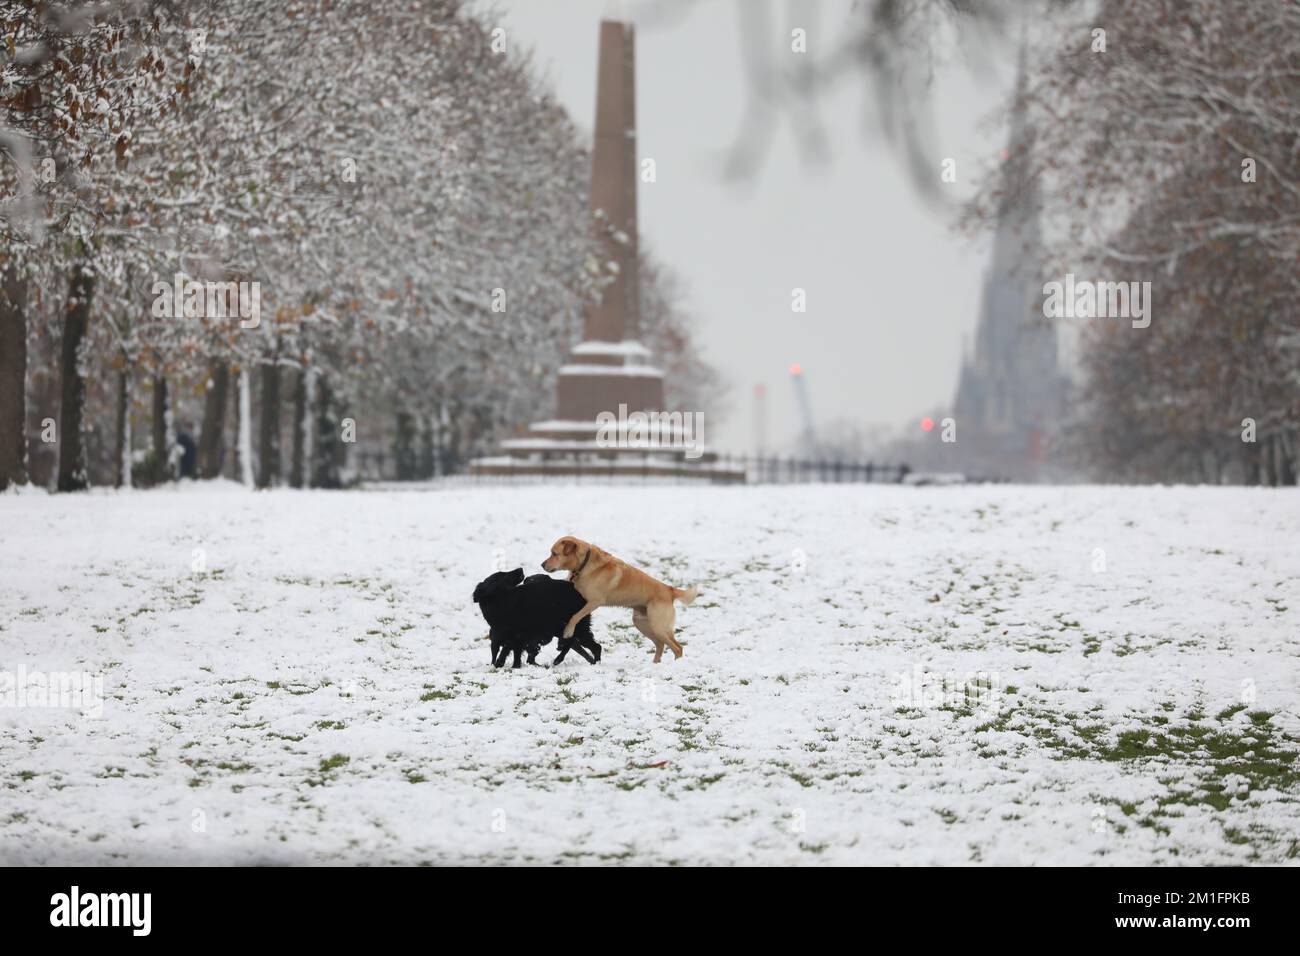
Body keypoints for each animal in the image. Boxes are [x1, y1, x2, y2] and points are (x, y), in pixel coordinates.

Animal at [473, 572, 603, 671]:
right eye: (502, 575)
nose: (520, 570)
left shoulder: (517, 636)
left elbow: (508, 652)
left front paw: (505, 665)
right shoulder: (515, 639)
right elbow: (512, 653)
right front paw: (508, 665)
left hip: (572, 627)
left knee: (593, 646)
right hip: (565, 629)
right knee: (585, 645)